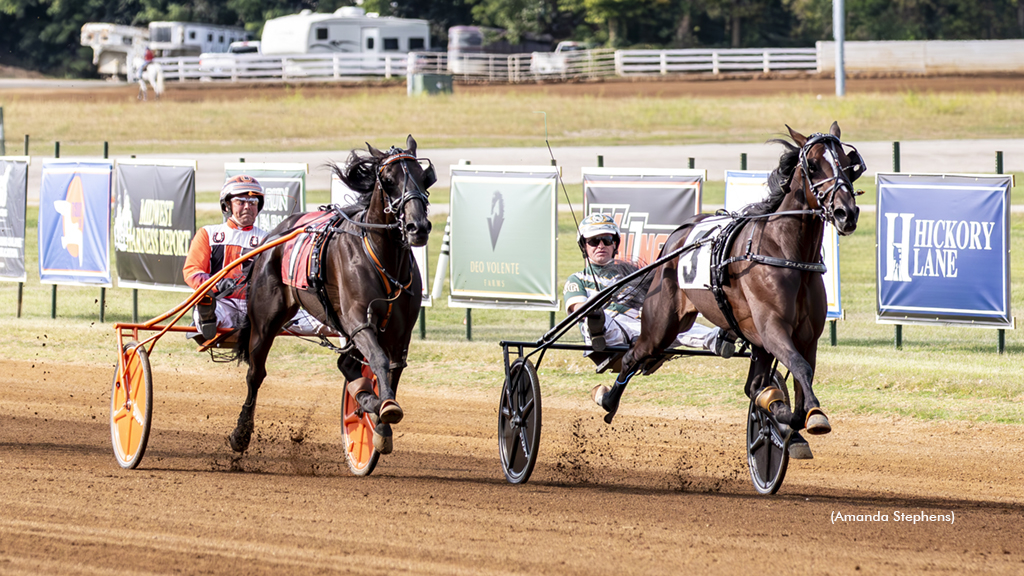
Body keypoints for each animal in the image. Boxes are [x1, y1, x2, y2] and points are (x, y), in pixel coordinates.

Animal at [228, 133, 432, 453]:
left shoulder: (400, 333)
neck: (381, 254)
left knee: (345, 363)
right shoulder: (358, 319)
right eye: (388, 180)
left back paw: (364, 398)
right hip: (264, 321)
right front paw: (382, 408)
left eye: (425, 178)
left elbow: (392, 368)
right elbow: (378, 359)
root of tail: (272, 236)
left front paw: (380, 420)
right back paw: (241, 433)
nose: (417, 227)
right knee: (255, 373)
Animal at [598, 119, 868, 444]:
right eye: (813, 166)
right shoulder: (772, 328)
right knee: (632, 356)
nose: (845, 213)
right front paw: (813, 413)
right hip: (662, 325)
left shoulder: (805, 337)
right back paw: (608, 400)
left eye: (848, 165)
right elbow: (800, 370)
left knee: (752, 384)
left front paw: (784, 412)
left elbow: (793, 395)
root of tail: (677, 235)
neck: (786, 253)